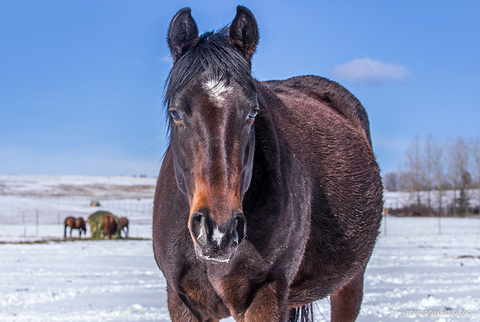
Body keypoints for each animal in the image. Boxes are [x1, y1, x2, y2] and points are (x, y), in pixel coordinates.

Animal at [154, 5, 382, 322]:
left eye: (252, 112)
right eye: (175, 112)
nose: (217, 232)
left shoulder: (266, 295)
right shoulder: (182, 302)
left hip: (350, 283)